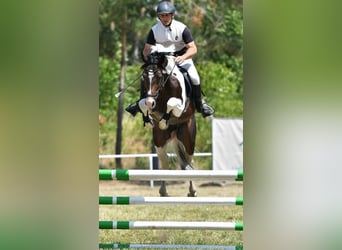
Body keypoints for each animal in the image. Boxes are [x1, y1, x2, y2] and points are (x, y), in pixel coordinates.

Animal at [137, 52, 196, 197]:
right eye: (144, 76)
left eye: (159, 76)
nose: (150, 102)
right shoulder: (148, 100)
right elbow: (141, 103)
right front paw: (148, 120)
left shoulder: (181, 107)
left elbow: (171, 103)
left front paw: (164, 121)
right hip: (159, 141)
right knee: (164, 162)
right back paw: (163, 191)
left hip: (188, 138)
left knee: (189, 161)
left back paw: (192, 191)